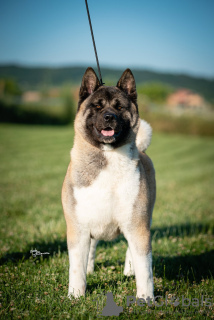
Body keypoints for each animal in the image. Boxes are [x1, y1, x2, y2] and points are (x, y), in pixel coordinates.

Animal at [61, 67, 155, 300]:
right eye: (97, 106)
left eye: (120, 107)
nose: (109, 116)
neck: (108, 156)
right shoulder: (78, 228)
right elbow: (76, 267)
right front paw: (75, 295)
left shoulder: (137, 226)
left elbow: (145, 268)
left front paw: (146, 298)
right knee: (92, 247)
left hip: (143, 219)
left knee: (131, 251)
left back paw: (129, 271)